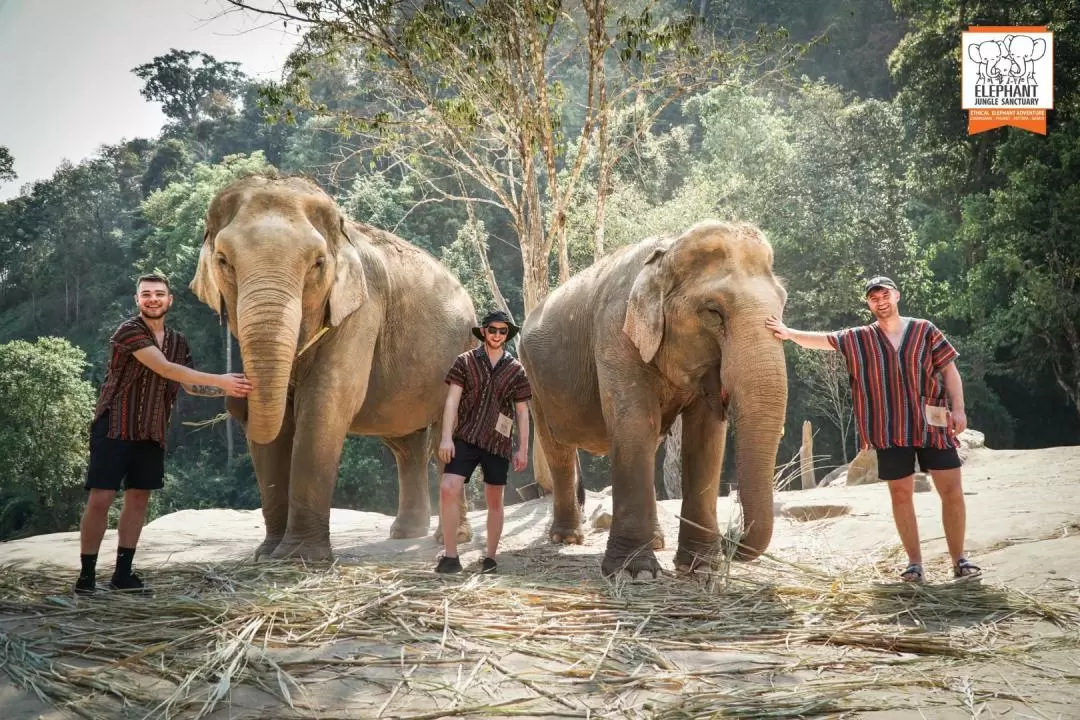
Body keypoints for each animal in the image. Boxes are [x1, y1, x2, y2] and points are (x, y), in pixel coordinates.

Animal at [191, 174, 477, 561]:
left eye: (317, 263)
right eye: (223, 260)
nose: (234, 400)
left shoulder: (362, 310)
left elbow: (326, 403)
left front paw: (299, 558)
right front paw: (267, 555)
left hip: (465, 349)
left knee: (444, 436)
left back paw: (451, 538)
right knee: (406, 444)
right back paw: (405, 533)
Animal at [518, 220, 790, 578]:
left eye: (782, 305)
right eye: (713, 312)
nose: (732, 535)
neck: (667, 250)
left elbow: (704, 438)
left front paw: (701, 567)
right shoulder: (615, 332)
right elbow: (635, 425)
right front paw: (634, 572)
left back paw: (657, 542)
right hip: (534, 379)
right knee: (557, 449)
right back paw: (567, 539)